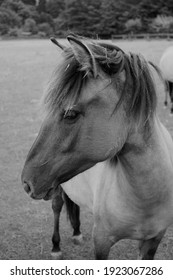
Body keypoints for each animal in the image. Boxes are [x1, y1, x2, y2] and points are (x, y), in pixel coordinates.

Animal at [21, 35, 173, 260]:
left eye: (70, 114)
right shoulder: (101, 241)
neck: (147, 197)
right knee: (57, 207)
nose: (26, 183)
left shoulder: (153, 240)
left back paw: (76, 232)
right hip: (56, 187)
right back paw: (56, 246)